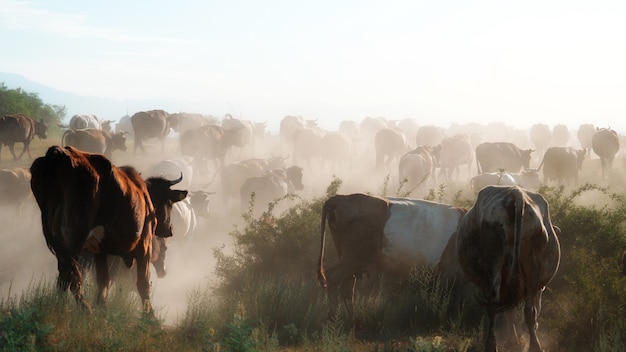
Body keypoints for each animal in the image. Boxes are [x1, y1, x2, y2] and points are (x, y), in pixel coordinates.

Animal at [31, 146, 188, 314]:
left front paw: (101, 306)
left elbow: (103, 282)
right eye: (169, 203)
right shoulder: (144, 246)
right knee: (72, 274)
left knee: (64, 276)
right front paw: (149, 315)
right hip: (75, 238)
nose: (170, 230)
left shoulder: (100, 251)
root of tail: (59, 154)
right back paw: (83, 308)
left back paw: (62, 306)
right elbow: (142, 283)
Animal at [316, 194, 464, 318]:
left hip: (352, 262)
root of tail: (341, 198)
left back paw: (352, 318)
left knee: (347, 287)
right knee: (332, 275)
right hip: (353, 258)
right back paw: (333, 317)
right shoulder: (448, 274)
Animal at [450, 186, 560, 350]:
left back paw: (491, 345)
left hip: (494, 265)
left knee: (493, 307)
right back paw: (534, 345)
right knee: (528, 311)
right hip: (530, 268)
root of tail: (515, 194)